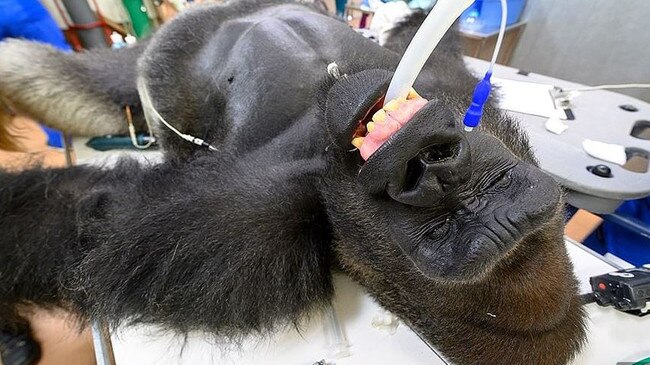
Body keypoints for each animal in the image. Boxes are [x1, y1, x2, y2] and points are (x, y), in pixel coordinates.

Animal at [0, 1, 584, 362]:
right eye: (492, 184)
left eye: (438, 231)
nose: (429, 166)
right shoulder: (453, 85)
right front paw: (414, 19)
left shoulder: (245, 233)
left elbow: (85, 219)